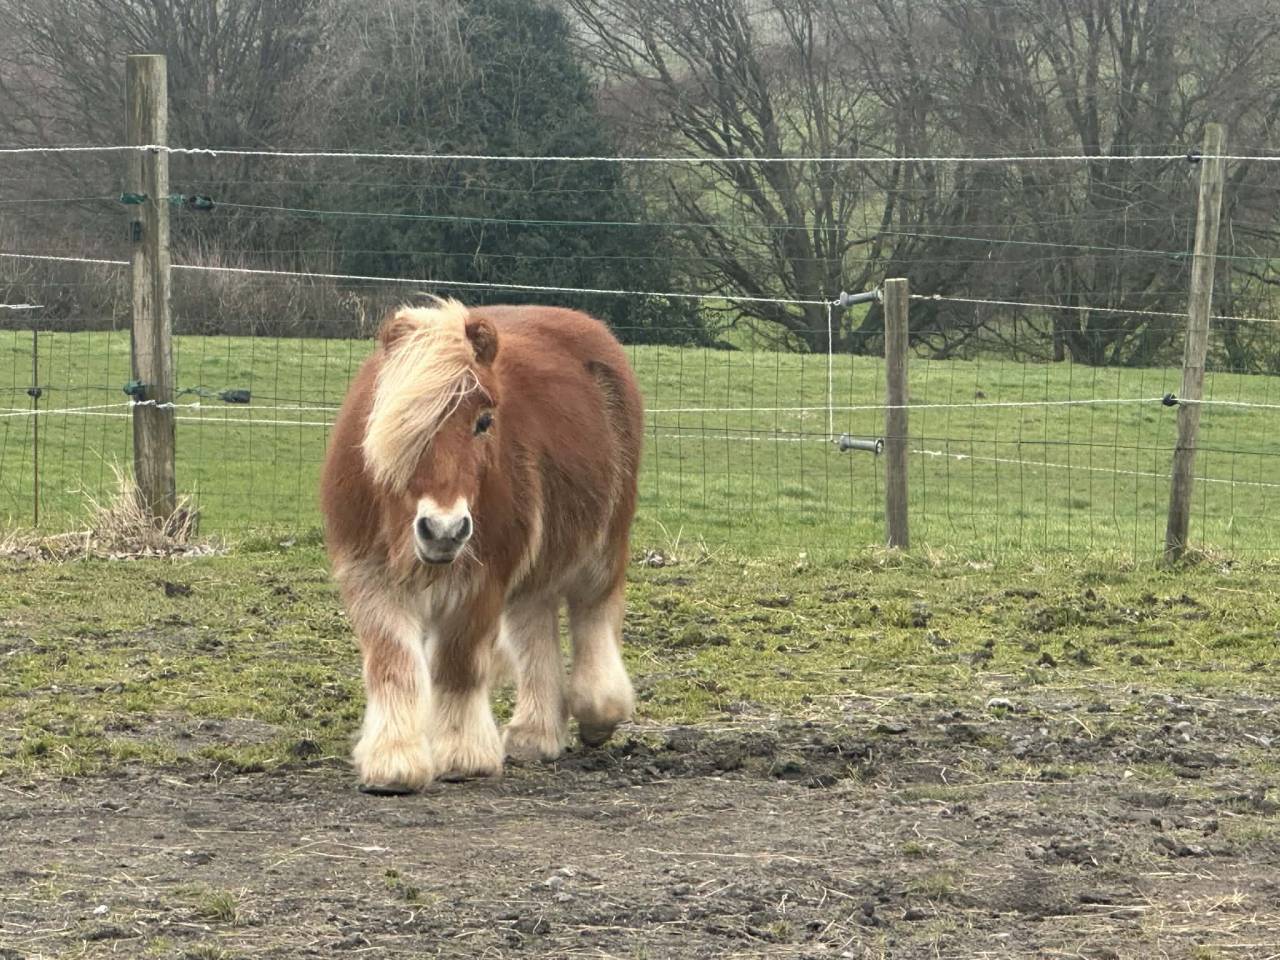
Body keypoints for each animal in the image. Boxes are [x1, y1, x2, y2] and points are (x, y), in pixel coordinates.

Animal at [320, 298, 645, 794]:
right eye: (402, 422)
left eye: (484, 421)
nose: (444, 530)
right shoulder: (369, 577)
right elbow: (393, 665)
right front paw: (394, 762)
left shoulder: (483, 579)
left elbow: (459, 665)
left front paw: (463, 755)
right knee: (534, 627)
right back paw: (535, 733)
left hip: (602, 545)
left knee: (592, 612)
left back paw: (598, 712)